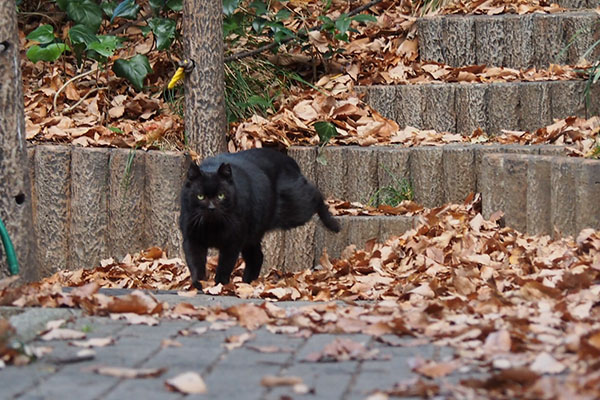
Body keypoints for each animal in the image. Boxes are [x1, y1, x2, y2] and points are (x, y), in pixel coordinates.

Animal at [178, 148, 340, 290]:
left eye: (221, 195)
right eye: (200, 196)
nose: (211, 208)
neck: (212, 226)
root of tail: (288, 160)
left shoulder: (232, 242)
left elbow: (224, 266)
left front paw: (220, 285)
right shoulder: (192, 240)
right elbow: (196, 264)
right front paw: (200, 284)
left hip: (296, 209)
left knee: (315, 194)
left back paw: (333, 224)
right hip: (251, 236)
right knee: (257, 257)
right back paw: (247, 282)